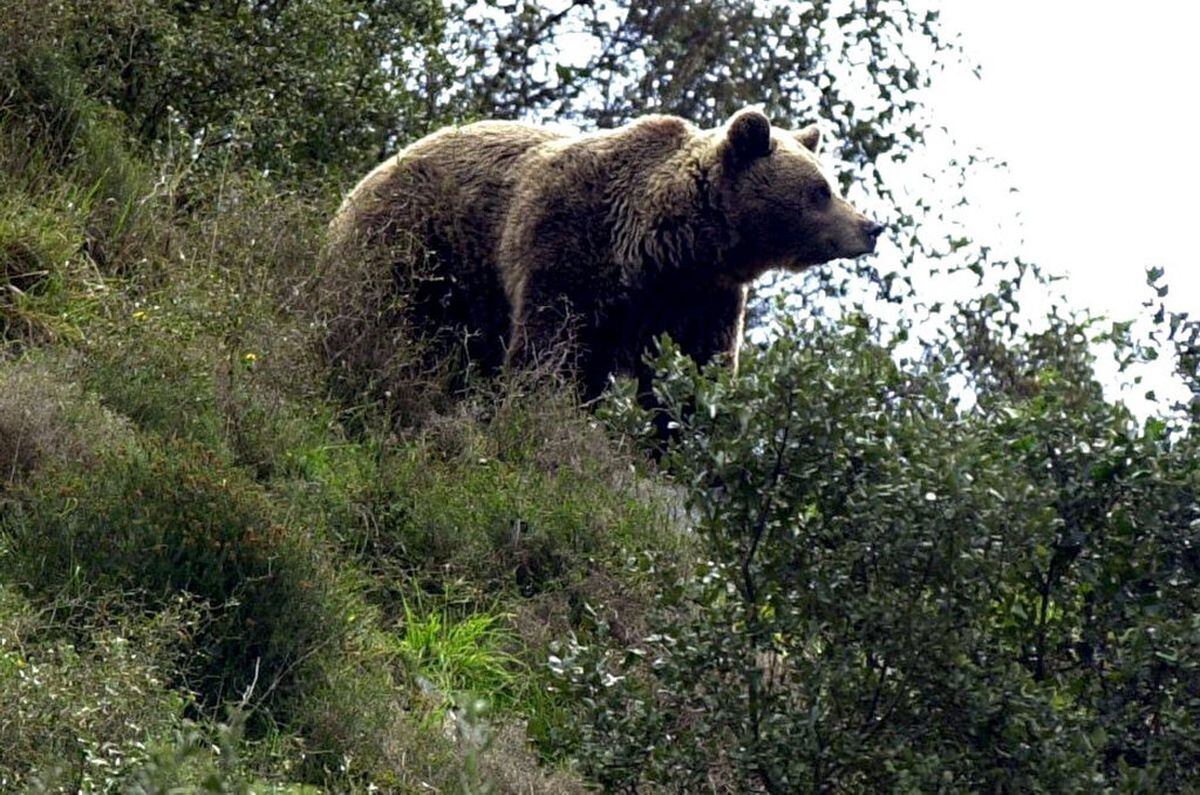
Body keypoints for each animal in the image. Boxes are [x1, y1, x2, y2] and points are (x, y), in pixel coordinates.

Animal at [319, 109, 883, 408]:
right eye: (820, 191)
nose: (871, 227)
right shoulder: (570, 243)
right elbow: (552, 348)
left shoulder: (702, 299)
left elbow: (698, 372)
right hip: (417, 246)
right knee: (388, 317)